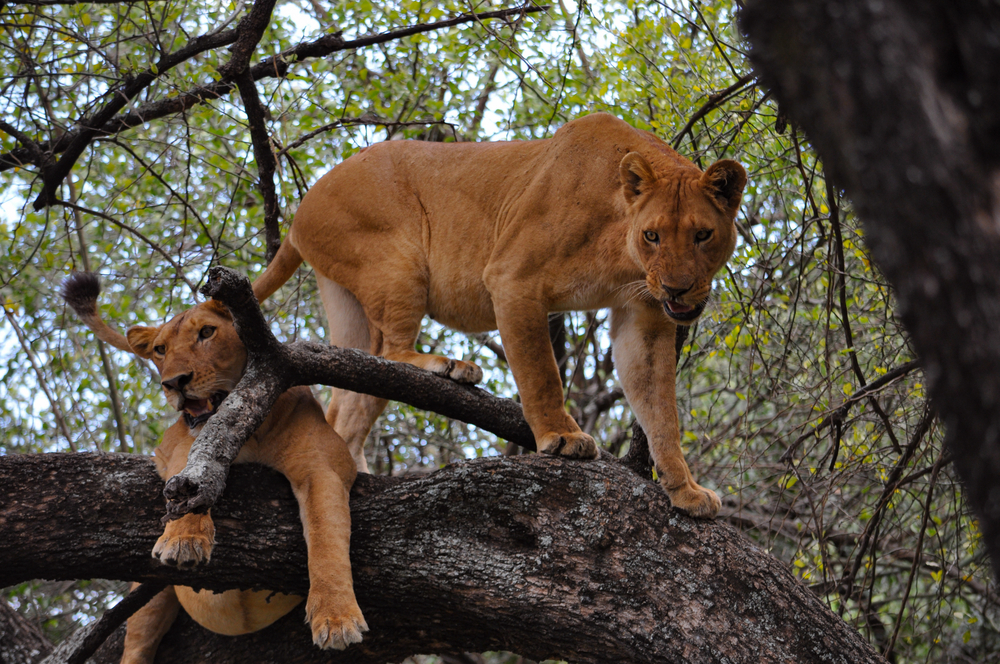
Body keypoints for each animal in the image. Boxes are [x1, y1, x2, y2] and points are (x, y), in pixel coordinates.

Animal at [61, 272, 367, 663]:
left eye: (207, 333)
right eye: (160, 350)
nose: (174, 383)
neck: (250, 432)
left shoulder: (323, 466)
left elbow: (326, 538)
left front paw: (336, 619)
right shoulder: (175, 447)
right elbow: (188, 482)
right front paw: (184, 540)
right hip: (149, 604)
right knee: (136, 644)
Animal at [252, 112, 746, 519]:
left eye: (702, 235)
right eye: (653, 235)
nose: (677, 288)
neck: (622, 248)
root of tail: (300, 211)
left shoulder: (643, 315)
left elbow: (661, 410)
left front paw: (685, 490)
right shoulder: (513, 277)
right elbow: (541, 373)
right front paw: (561, 438)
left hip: (350, 304)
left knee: (353, 394)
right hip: (398, 259)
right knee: (392, 351)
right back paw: (448, 366)